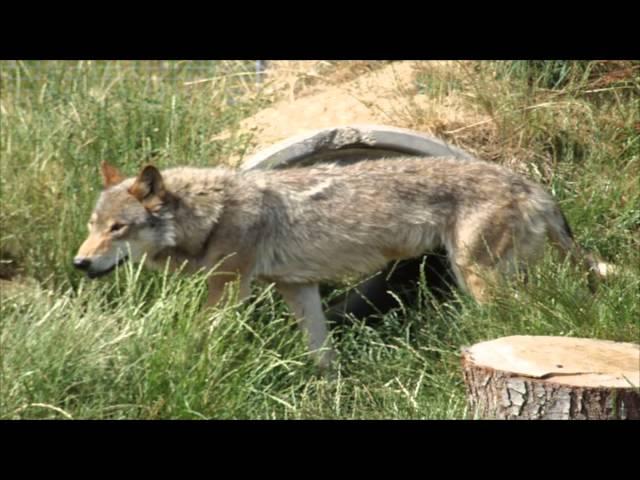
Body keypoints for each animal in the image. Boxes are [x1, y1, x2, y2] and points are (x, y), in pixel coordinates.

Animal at [75, 159, 616, 370]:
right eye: (93, 225)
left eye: (118, 229)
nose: (79, 262)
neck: (210, 214)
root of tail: (532, 185)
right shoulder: (299, 287)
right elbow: (321, 352)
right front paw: (328, 387)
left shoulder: (228, 291)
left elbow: (199, 340)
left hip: (478, 279)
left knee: (521, 318)